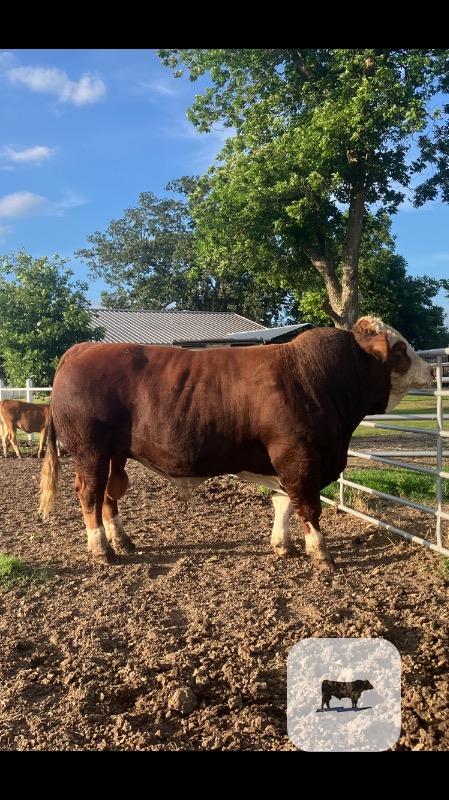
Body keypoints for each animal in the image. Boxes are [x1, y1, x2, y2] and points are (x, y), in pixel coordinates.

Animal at [39, 316, 435, 569]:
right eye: (399, 348)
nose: (432, 370)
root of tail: (81, 349)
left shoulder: (285, 461)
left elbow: (283, 502)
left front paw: (283, 545)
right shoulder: (300, 457)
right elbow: (308, 507)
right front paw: (321, 554)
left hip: (115, 455)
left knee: (110, 495)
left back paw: (121, 541)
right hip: (89, 451)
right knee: (90, 494)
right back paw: (101, 550)